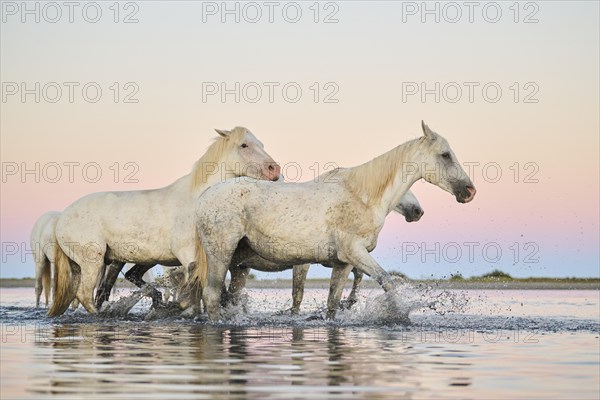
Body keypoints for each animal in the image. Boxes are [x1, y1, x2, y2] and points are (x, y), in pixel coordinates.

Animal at [48, 127, 280, 316]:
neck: (198, 200)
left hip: (97, 263)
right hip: (91, 262)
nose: (274, 170)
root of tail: (62, 218)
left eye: (261, 144)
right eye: (244, 145)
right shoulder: (191, 257)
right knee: (85, 294)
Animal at [195, 120, 476, 320]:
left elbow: (332, 303)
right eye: (445, 155)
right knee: (211, 296)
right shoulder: (355, 253)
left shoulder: (343, 263)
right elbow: (387, 281)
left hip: (237, 263)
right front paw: (399, 316)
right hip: (220, 255)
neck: (362, 195)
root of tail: (203, 197)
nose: (470, 191)